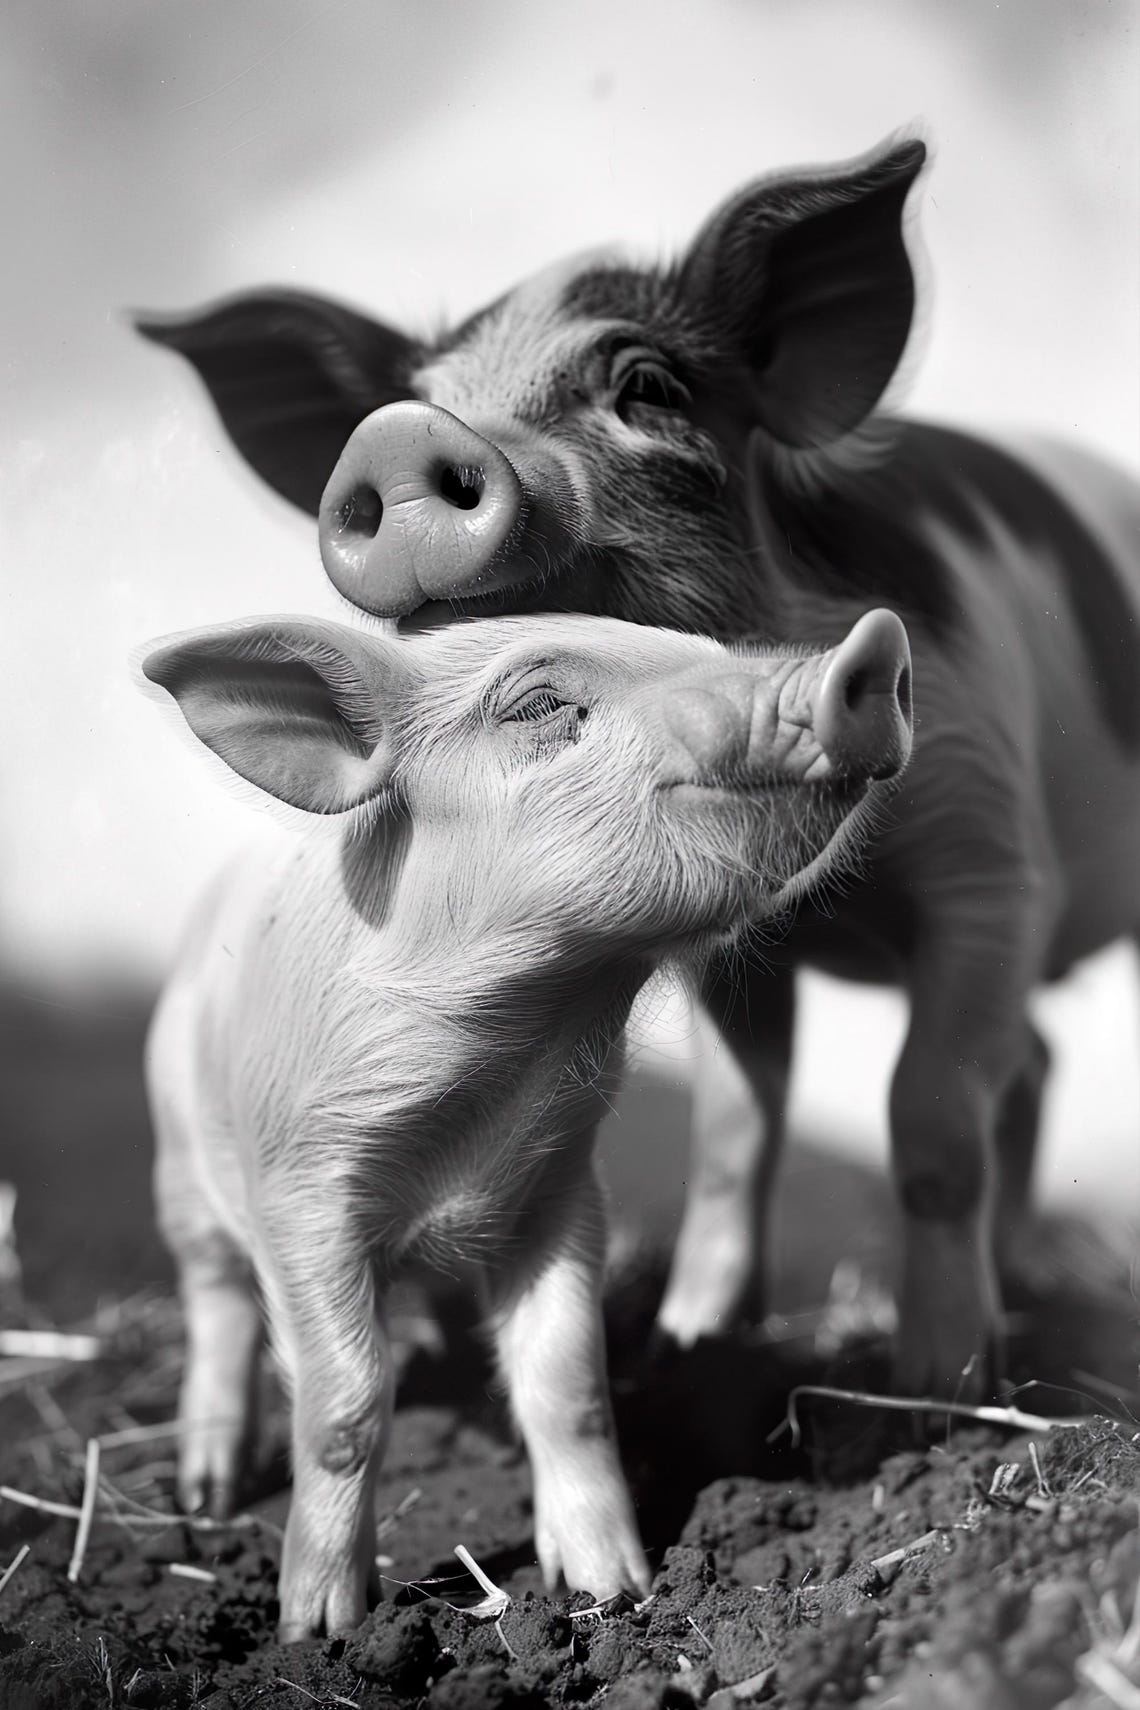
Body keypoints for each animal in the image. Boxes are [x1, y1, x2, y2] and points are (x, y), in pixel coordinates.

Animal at [135, 134, 1140, 1401]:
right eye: (412, 402)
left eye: (651, 389)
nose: (397, 434)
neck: (842, 904)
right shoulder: (743, 950)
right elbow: (732, 1138)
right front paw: (693, 1344)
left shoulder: (992, 858)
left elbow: (932, 1121)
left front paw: (935, 1391)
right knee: (1038, 1061)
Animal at [140, 607, 913, 1640]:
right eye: (540, 704)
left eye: (700, 646)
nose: (874, 641)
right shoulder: (300, 1195)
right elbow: (345, 1406)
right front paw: (320, 1630)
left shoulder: (560, 1191)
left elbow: (568, 1385)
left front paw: (614, 1592)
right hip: (180, 1163)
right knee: (217, 1301)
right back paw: (207, 1494)